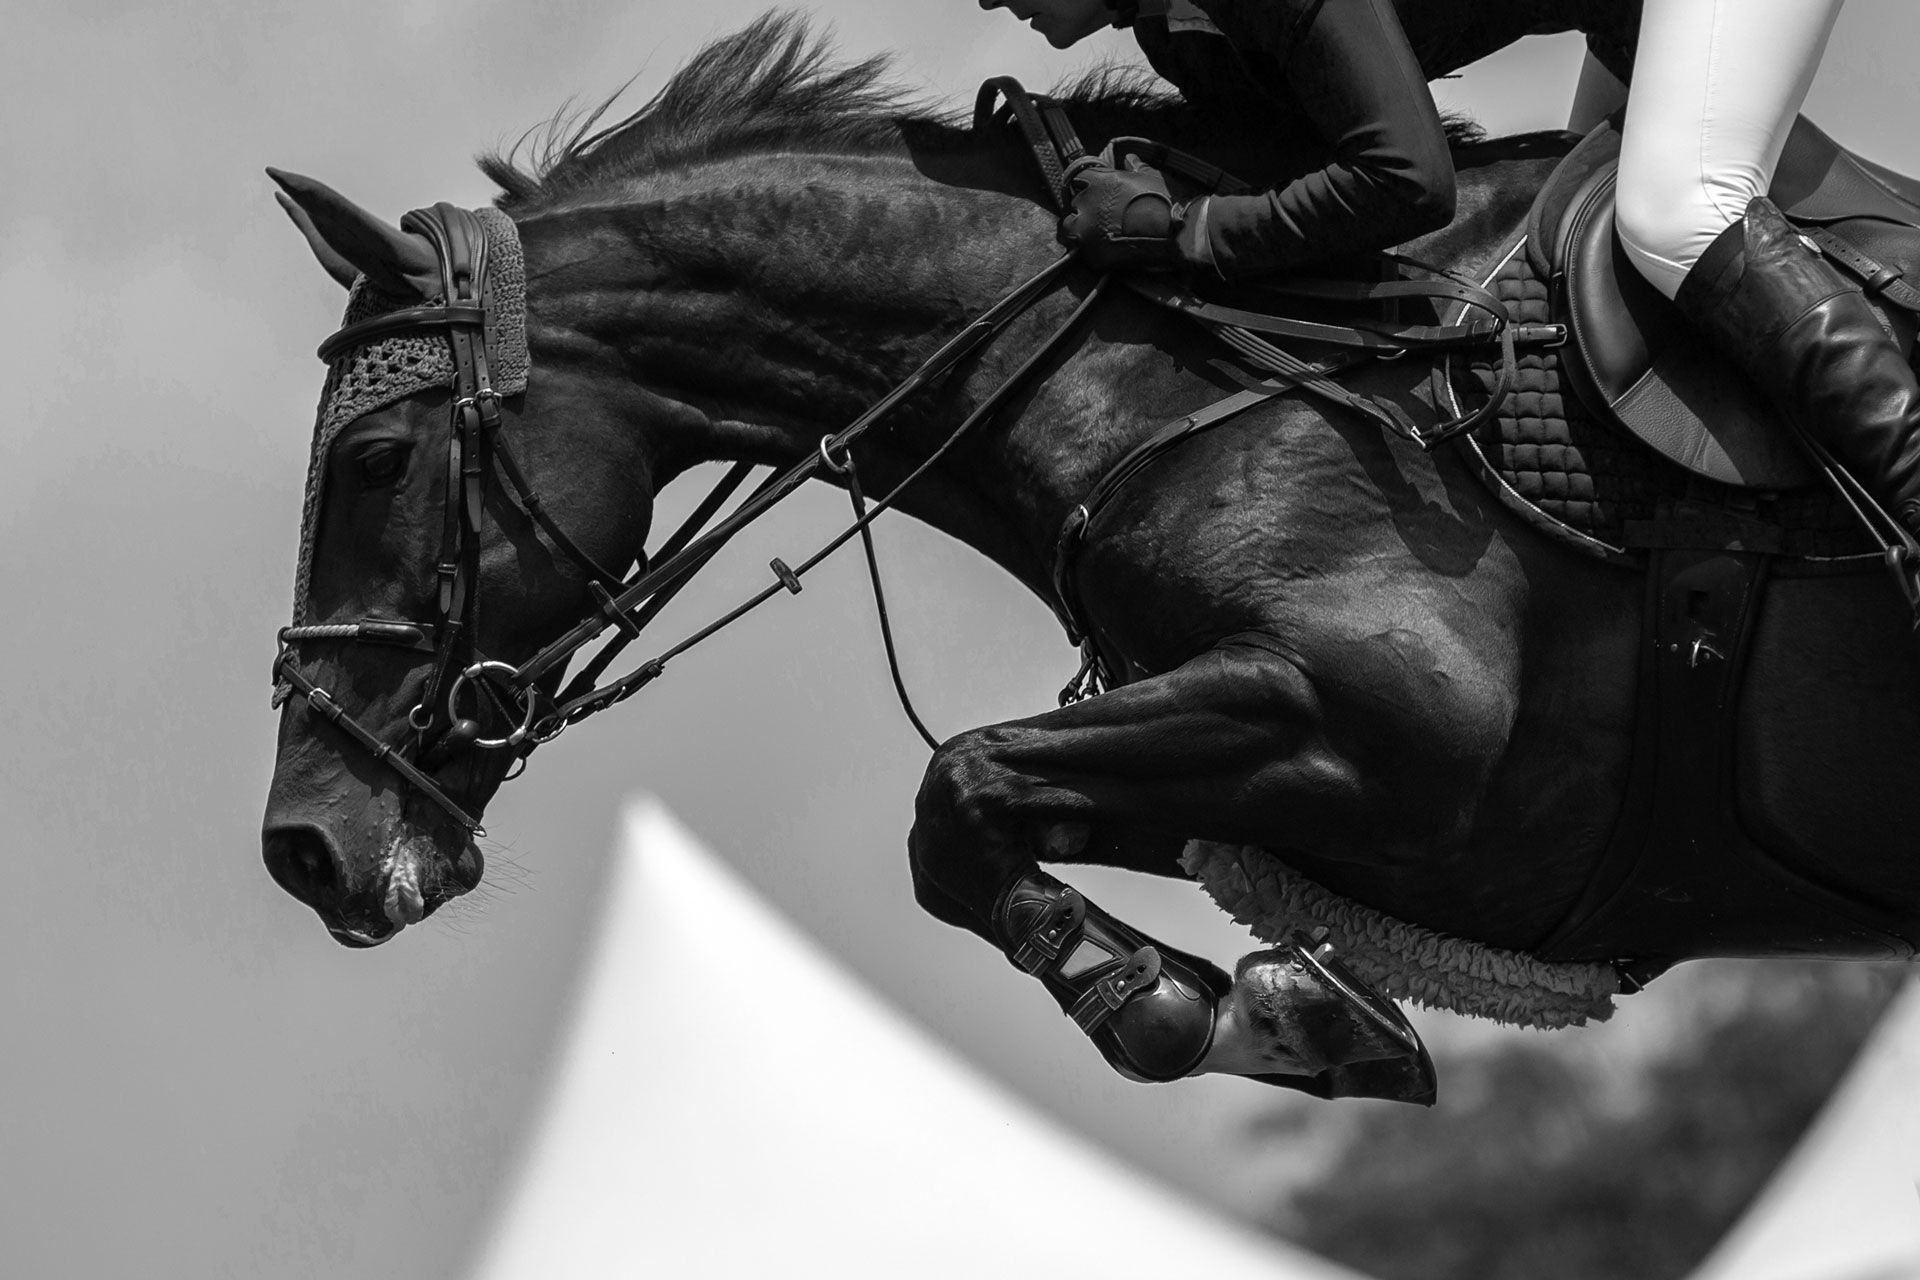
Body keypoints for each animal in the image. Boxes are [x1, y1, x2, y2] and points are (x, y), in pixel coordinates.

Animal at [262, 15, 1920, 1101]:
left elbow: (958, 789)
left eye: (378, 461)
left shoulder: (1398, 734)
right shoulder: (1301, 786)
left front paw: (1178, 1008)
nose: (304, 849)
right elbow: (982, 815)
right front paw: (1274, 1012)